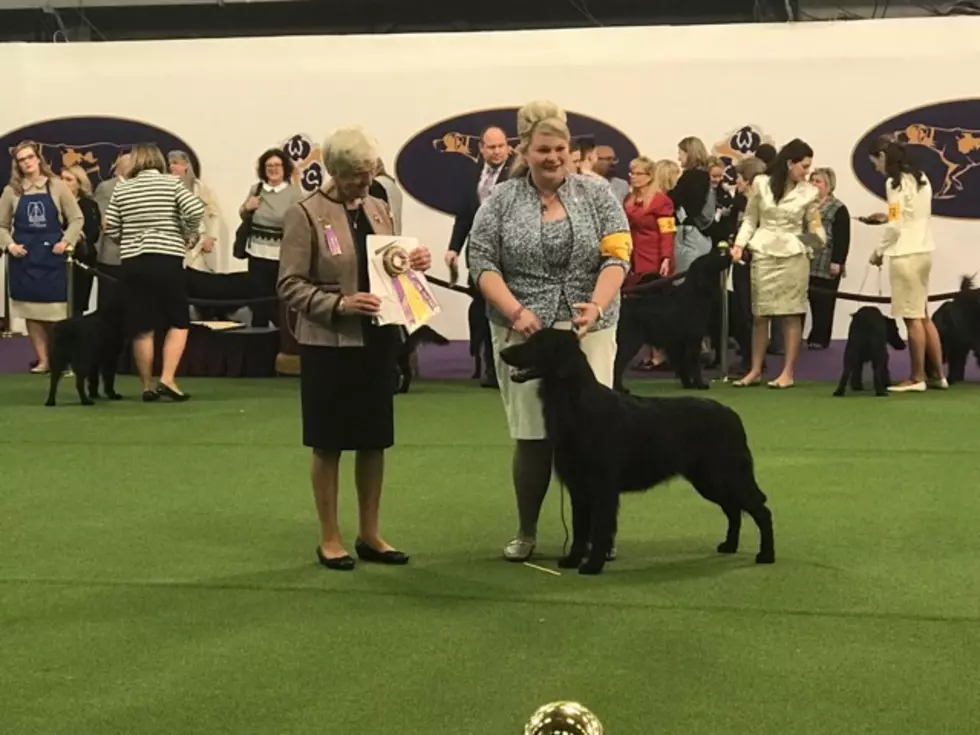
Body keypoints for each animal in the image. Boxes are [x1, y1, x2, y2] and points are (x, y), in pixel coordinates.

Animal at [498, 328, 772, 576]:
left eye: (537, 342)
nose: (502, 352)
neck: (578, 406)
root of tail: (731, 414)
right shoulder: (579, 488)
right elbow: (579, 529)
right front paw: (573, 560)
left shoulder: (603, 487)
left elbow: (599, 530)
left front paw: (592, 565)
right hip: (709, 481)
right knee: (734, 510)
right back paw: (730, 545)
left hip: (725, 476)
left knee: (760, 510)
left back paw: (766, 555)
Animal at [616, 247, 732, 394]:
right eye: (713, 258)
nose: (730, 254)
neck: (694, 294)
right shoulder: (693, 340)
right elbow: (693, 364)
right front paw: (700, 384)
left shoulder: (678, 344)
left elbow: (683, 366)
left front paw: (688, 385)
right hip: (630, 342)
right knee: (616, 365)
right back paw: (620, 389)